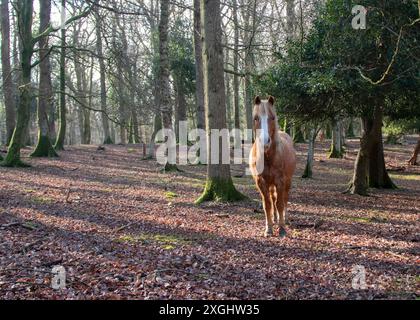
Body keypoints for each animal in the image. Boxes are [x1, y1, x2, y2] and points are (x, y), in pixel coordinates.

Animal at [248, 96, 296, 236]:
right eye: (256, 118)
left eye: (273, 117)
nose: (265, 142)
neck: (268, 158)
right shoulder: (261, 182)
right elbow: (267, 205)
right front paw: (268, 229)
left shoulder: (280, 181)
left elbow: (280, 203)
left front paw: (282, 229)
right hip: (270, 184)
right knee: (272, 198)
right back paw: (275, 218)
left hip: (287, 181)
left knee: (284, 198)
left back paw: (284, 218)